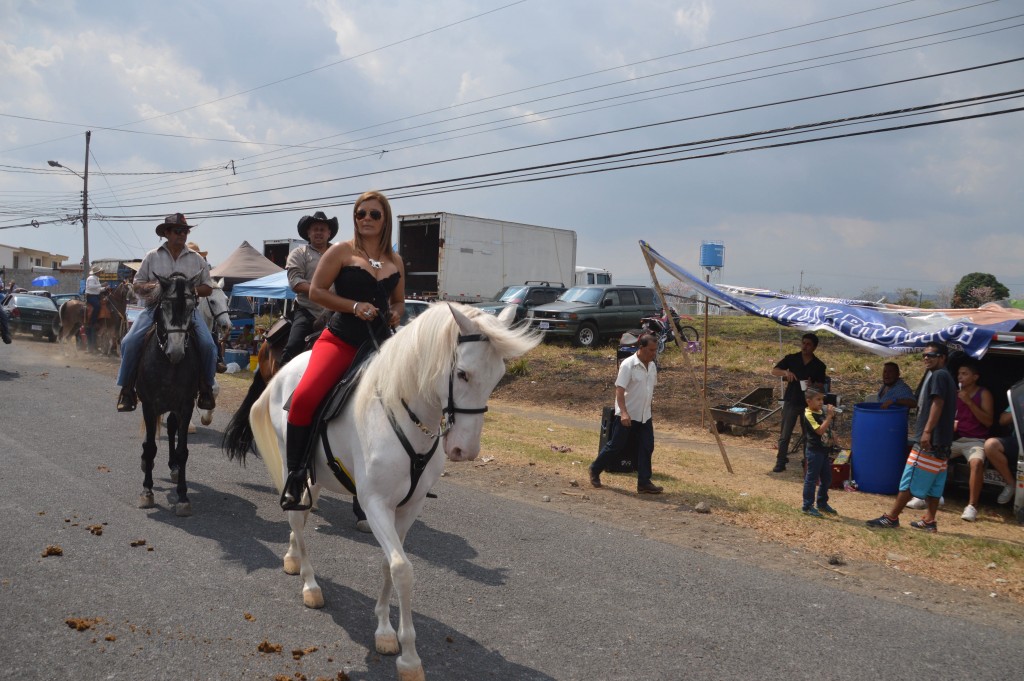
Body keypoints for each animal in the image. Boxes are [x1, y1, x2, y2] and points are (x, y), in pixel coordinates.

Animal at [242, 305, 540, 679]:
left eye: (497, 377)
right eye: (462, 374)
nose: (466, 450)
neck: (405, 416)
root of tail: (286, 370)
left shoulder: (408, 508)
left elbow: (388, 564)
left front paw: (385, 631)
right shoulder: (375, 506)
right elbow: (402, 570)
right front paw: (409, 657)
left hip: (316, 477)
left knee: (304, 517)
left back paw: (293, 557)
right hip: (291, 467)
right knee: (297, 518)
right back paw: (310, 585)